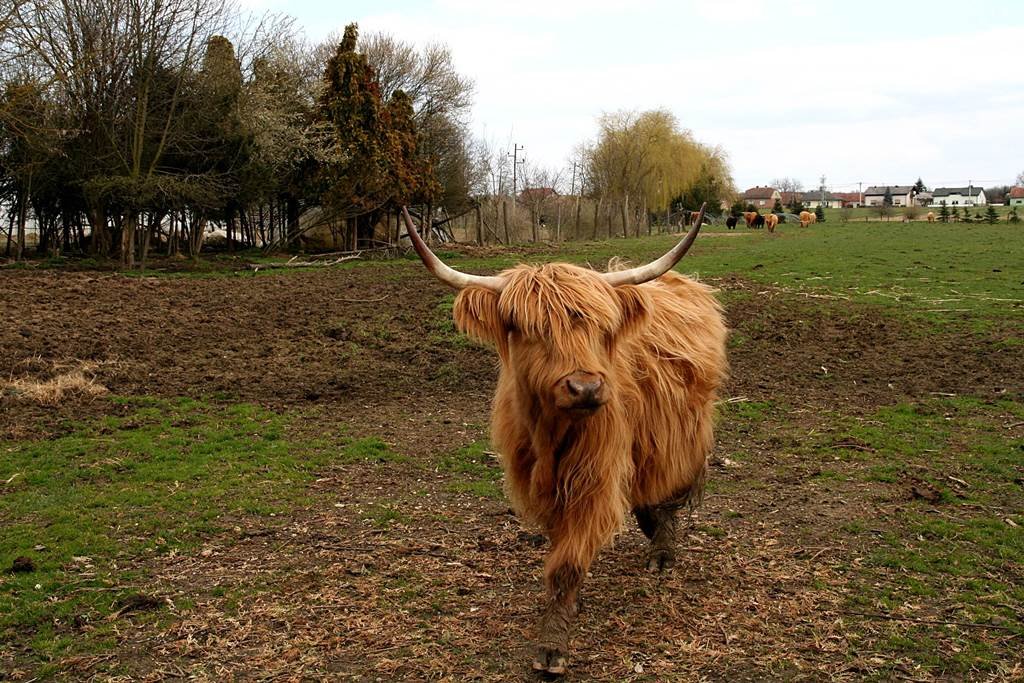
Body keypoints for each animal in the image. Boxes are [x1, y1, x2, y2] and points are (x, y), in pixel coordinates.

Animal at [399, 205, 729, 675]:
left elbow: (568, 563)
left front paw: (553, 646)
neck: (551, 437)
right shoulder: (541, 482)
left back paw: (662, 550)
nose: (585, 388)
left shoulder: (593, 476)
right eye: (529, 328)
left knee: (668, 490)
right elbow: (561, 548)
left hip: (683, 432)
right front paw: (569, 607)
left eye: (600, 328)